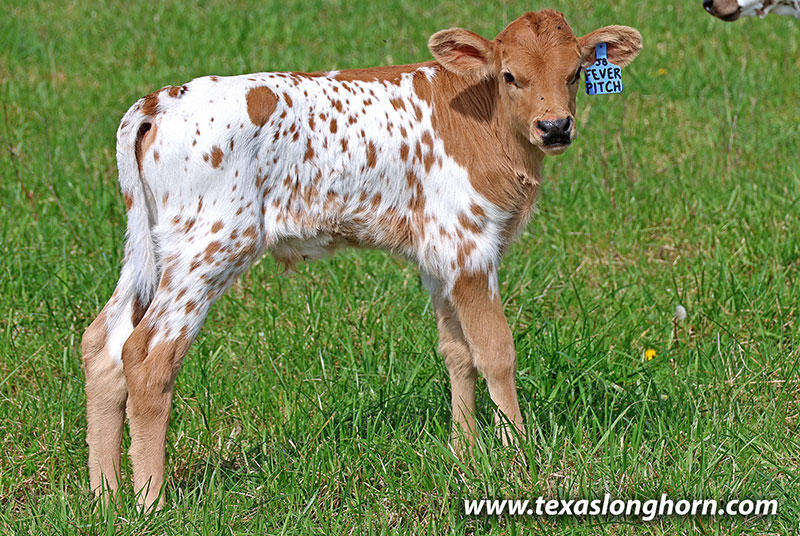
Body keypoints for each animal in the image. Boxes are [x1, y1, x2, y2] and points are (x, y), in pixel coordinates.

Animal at [81, 9, 642, 509]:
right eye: (510, 75)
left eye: (575, 72)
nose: (555, 126)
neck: (483, 121)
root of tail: (158, 102)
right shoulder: (470, 245)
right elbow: (495, 351)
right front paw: (518, 458)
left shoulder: (438, 255)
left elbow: (457, 350)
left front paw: (464, 452)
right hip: (211, 247)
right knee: (147, 354)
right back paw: (150, 501)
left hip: (151, 250)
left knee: (103, 342)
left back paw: (106, 495)